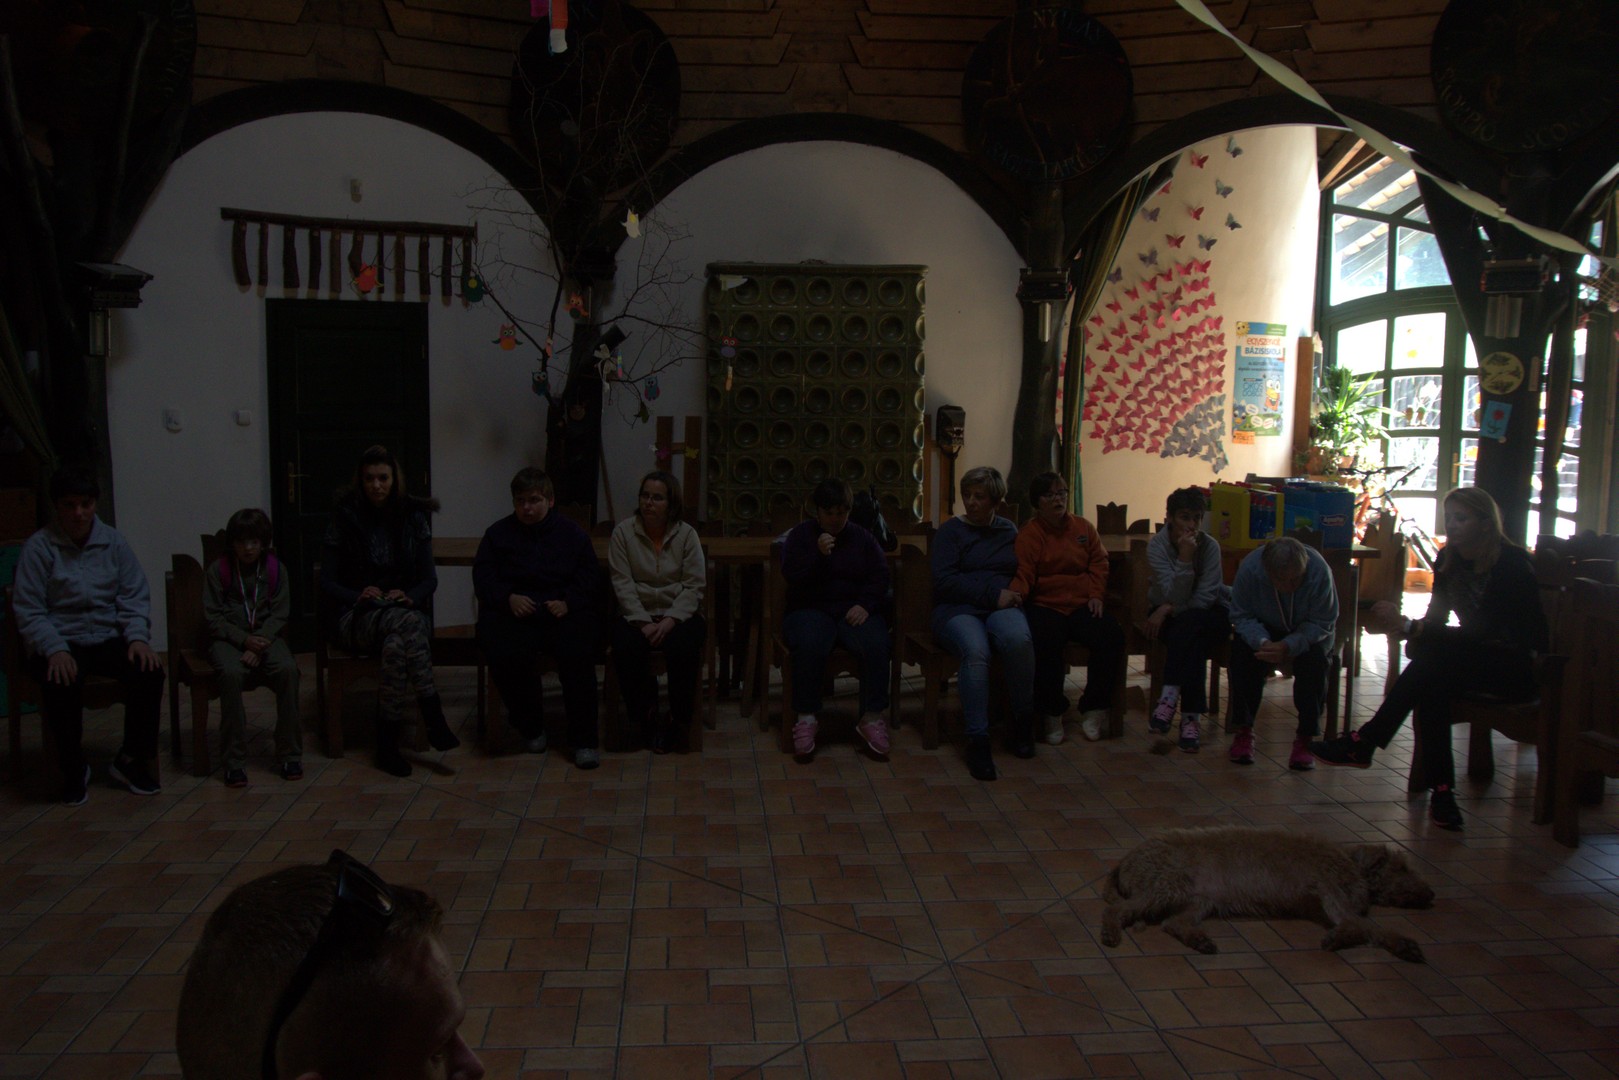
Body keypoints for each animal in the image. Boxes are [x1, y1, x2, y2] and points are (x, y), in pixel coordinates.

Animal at [1100, 826, 1434, 962]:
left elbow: (1365, 926)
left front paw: (1399, 944)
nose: (1431, 893)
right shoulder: (1326, 888)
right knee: (1116, 910)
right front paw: (1343, 937)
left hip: (1198, 900)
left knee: (1174, 923)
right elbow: (1362, 924)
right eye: (1403, 867)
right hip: (1169, 885)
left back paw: (1200, 940)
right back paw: (1111, 932)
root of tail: (1125, 860)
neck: (1350, 863)